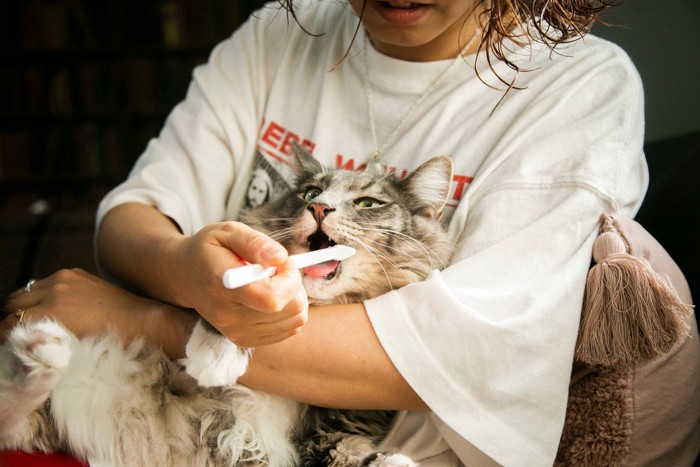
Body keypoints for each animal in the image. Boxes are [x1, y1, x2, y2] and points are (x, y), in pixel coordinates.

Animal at [0, 144, 454, 466]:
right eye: (310, 193)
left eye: (367, 204)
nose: (319, 207)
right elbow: (212, 304)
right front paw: (215, 357)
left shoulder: (332, 427)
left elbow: (353, 455)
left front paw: (391, 461)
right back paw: (40, 348)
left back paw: (41, 350)